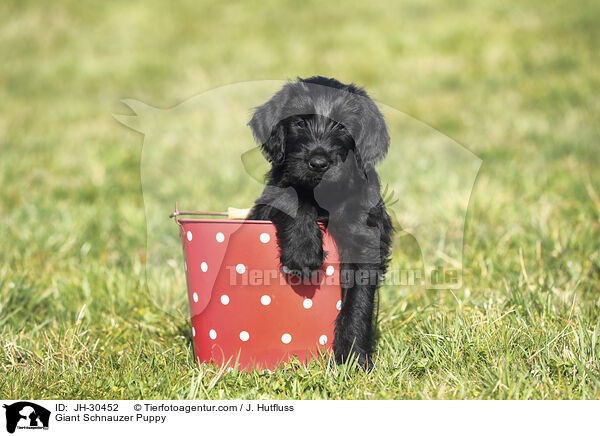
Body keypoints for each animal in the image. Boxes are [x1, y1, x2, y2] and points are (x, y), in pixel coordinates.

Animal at [246, 76, 392, 368]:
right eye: (300, 122)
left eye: (342, 125)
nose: (318, 162)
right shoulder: (269, 202)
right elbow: (294, 197)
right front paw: (303, 253)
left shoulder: (367, 242)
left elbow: (358, 303)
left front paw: (354, 358)